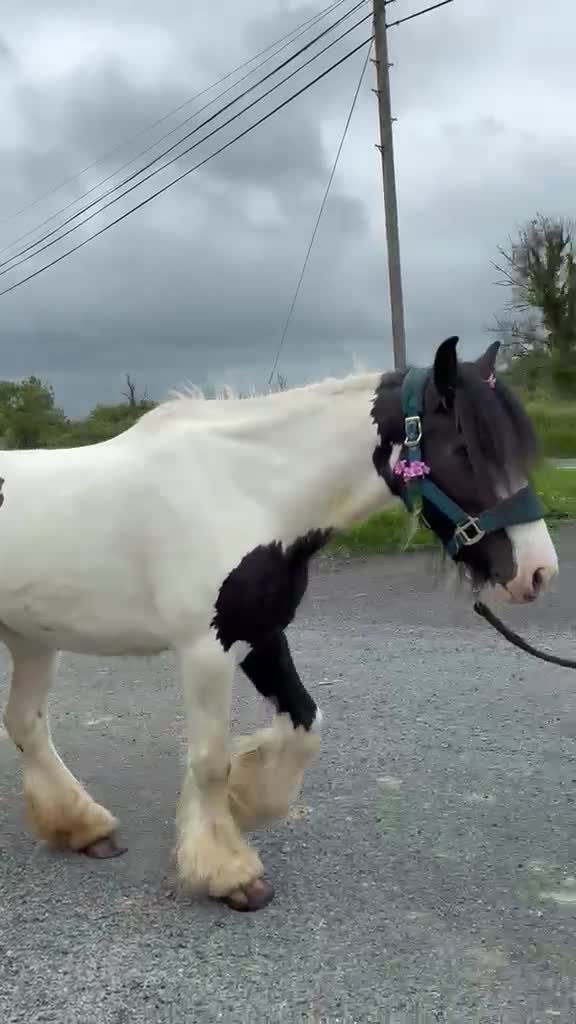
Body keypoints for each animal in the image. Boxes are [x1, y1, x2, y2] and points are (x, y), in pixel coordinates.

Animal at [0, 336, 558, 912]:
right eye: (466, 449)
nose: (538, 571)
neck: (245, 491)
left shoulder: (262, 635)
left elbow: (304, 725)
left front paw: (247, 803)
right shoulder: (206, 649)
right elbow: (210, 760)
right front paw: (229, 872)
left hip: (30, 638)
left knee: (24, 723)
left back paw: (82, 827)